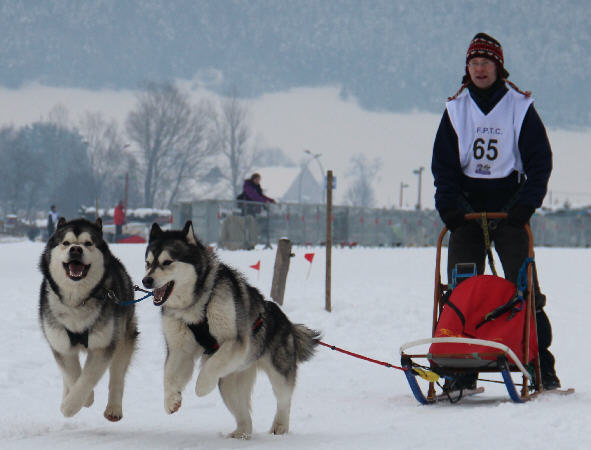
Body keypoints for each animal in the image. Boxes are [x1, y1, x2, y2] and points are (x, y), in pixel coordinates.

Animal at [38, 218, 138, 422]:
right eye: (66, 243)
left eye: (88, 243)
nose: (76, 249)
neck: (76, 300)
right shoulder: (60, 343)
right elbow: (72, 374)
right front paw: (80, 399)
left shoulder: (103, 344)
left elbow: (88, 376)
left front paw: (72, 405)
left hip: (123, 336)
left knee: (117, 374)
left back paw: (113, 408)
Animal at [143, 221, 320, 440]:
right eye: (148, 263)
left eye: (167, 262)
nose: (146, 281)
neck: (194, 306)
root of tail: (286, 320)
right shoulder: (180, 350)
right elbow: (168, 376)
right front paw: (170, 400)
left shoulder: (235, 341)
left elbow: (211, 365)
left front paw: (201, 386)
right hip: (229, 383)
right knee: (244, 416)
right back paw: (240, 433)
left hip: (278, 372)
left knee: (284, 400)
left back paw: (280, 426)